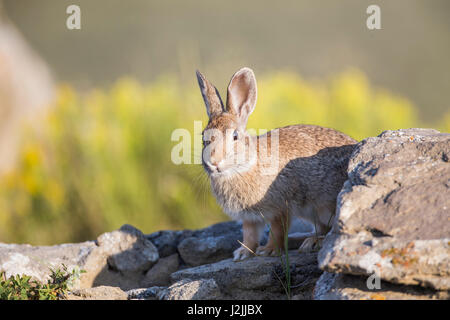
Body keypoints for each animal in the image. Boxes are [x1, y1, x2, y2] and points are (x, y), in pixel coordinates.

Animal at [195, 67, 356, 260]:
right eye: (203, 138)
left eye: (235, 136)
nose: (213, 162)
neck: (243, 167)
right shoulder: (250, 218)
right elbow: (249, 235)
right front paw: (243, 253)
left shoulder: (280, 208)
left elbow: (277, 231)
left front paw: (268, 250)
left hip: (323, 206)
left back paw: (313, 242)